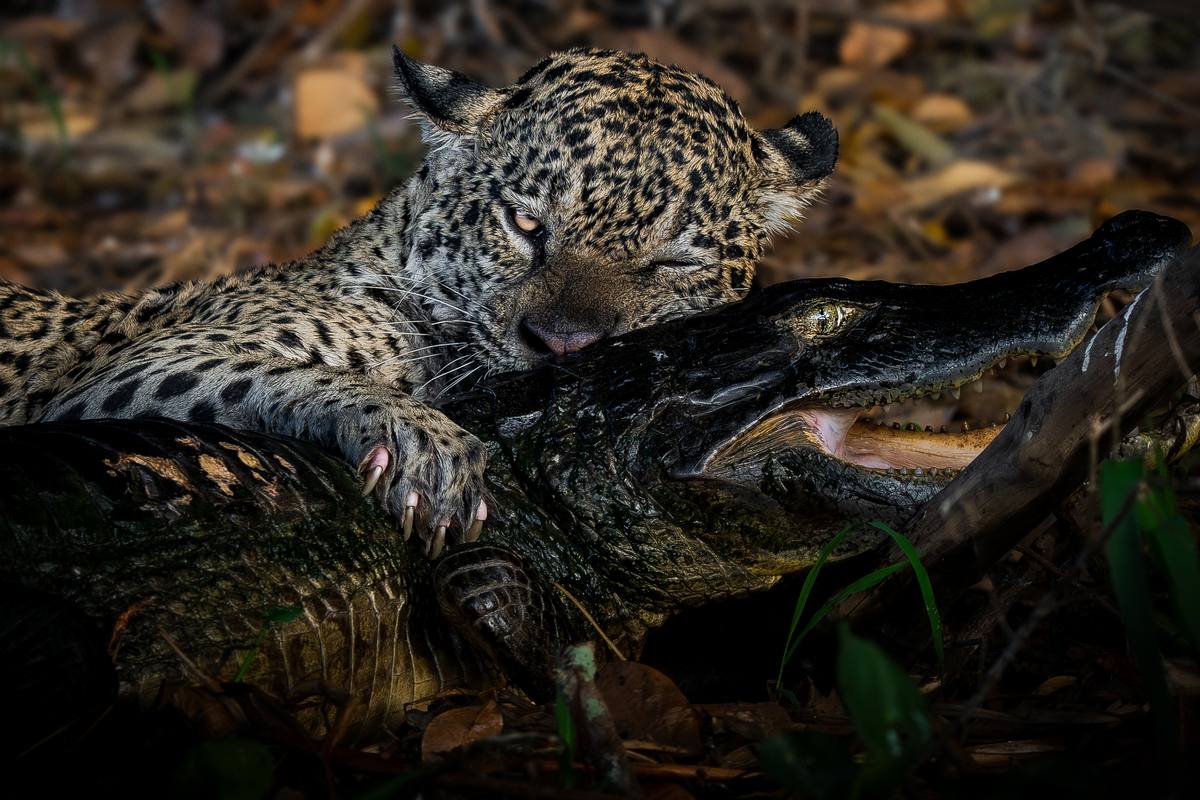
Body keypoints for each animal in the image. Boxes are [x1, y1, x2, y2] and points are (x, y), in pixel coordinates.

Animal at [0, 47, 838, 558]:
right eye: (526, 225)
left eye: (671, 262)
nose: (562, 345)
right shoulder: (137, 362)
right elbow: (290, 375)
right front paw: (424, 446)